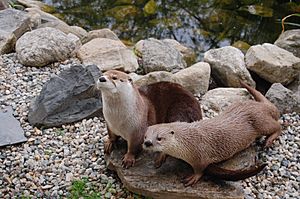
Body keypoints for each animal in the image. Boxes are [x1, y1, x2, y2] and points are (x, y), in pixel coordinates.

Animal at [143, 81, 282, 187]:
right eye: (145, 136)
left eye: (159, 138)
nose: (147, 143)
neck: (188, 141)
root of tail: (261, 106)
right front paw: (161, 156)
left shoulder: (200, 155)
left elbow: (201, 169)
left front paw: (193, 177)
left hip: (260, 122)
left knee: (278, 125)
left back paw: (269, 140)